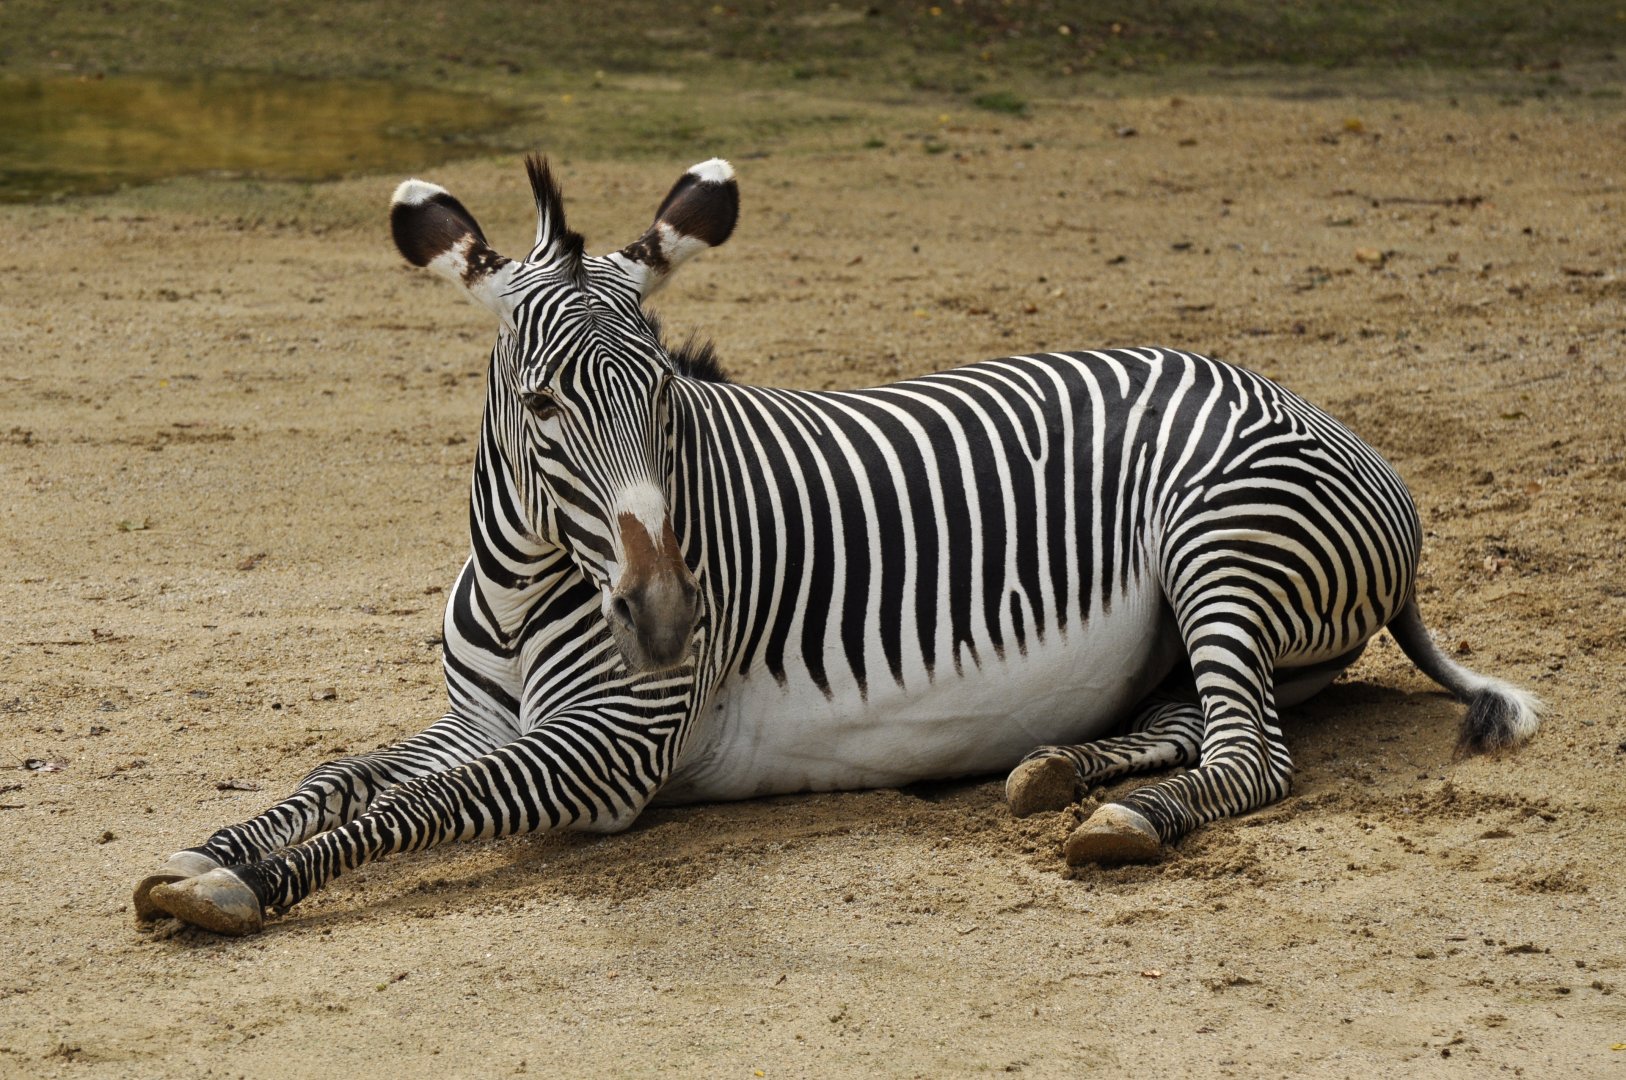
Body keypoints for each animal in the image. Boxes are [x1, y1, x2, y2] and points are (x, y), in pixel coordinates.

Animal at [135, 156, 1541, 935]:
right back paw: (1059, 768)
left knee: (1255, 754)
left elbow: (413, 805)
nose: (667, 620)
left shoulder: (611, 752)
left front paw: (247, 889)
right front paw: (218, 848)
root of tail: (1302, 398)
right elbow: (344, 773)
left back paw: (1129, 814)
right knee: (1204, 710)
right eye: (539, 406)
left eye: (668, 393)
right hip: (1208, 619)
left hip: (1220, 536)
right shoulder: (483, 719)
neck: (530, 581)